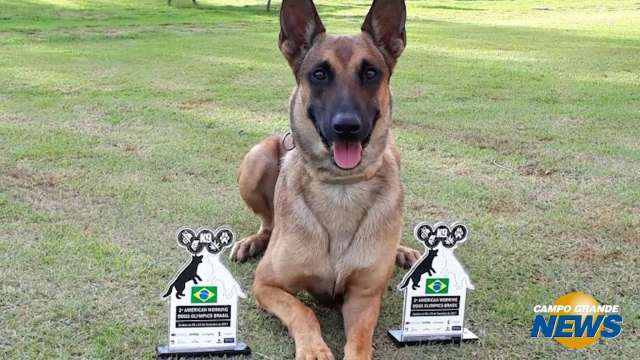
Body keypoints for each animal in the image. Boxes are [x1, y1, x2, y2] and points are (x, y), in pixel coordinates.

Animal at [230, 0, 420, 358]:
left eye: (370, 72)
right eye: (319, 74)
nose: (347, 126)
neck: (341, 189)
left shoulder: (363, 297)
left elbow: (359, 341)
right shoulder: (267, 284)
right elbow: (303, 311)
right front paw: (313, 348)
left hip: (395, 154)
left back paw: (402, 251)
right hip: (256, 159)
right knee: (268, 222)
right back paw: (253, 241)